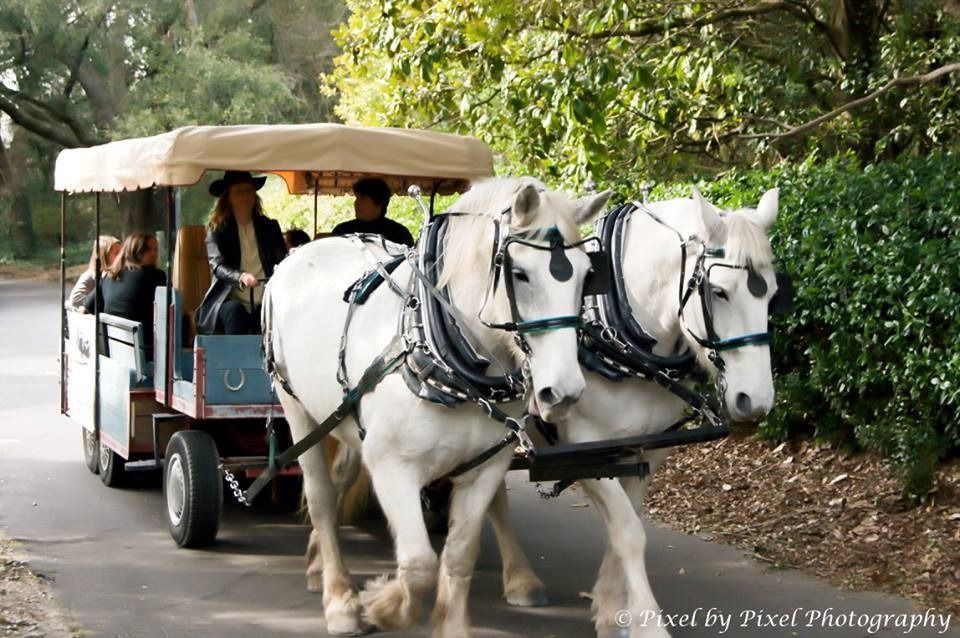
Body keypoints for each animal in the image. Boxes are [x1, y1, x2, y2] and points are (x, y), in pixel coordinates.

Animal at [264, 177, 611, 637]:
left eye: (588, 276)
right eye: (519, 274)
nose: (565, 391)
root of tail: (298, 255)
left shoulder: (484, 468)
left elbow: (459, 555)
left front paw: (449, 625)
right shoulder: (392, 466)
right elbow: (418, 565)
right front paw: (381, 606)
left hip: (345, 419)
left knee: (340, 481)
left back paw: (317, 565)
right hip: (297, 409)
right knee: (320, 495)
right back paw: (339, 599)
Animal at [483, 186, 784, 638]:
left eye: (771, 293)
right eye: (720, 291)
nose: (757, 399)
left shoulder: (647, 448)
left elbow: (628, 524)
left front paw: (611, 609)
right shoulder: (586, 450)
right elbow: (628, 532)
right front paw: (647, 623)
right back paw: (520, 578)